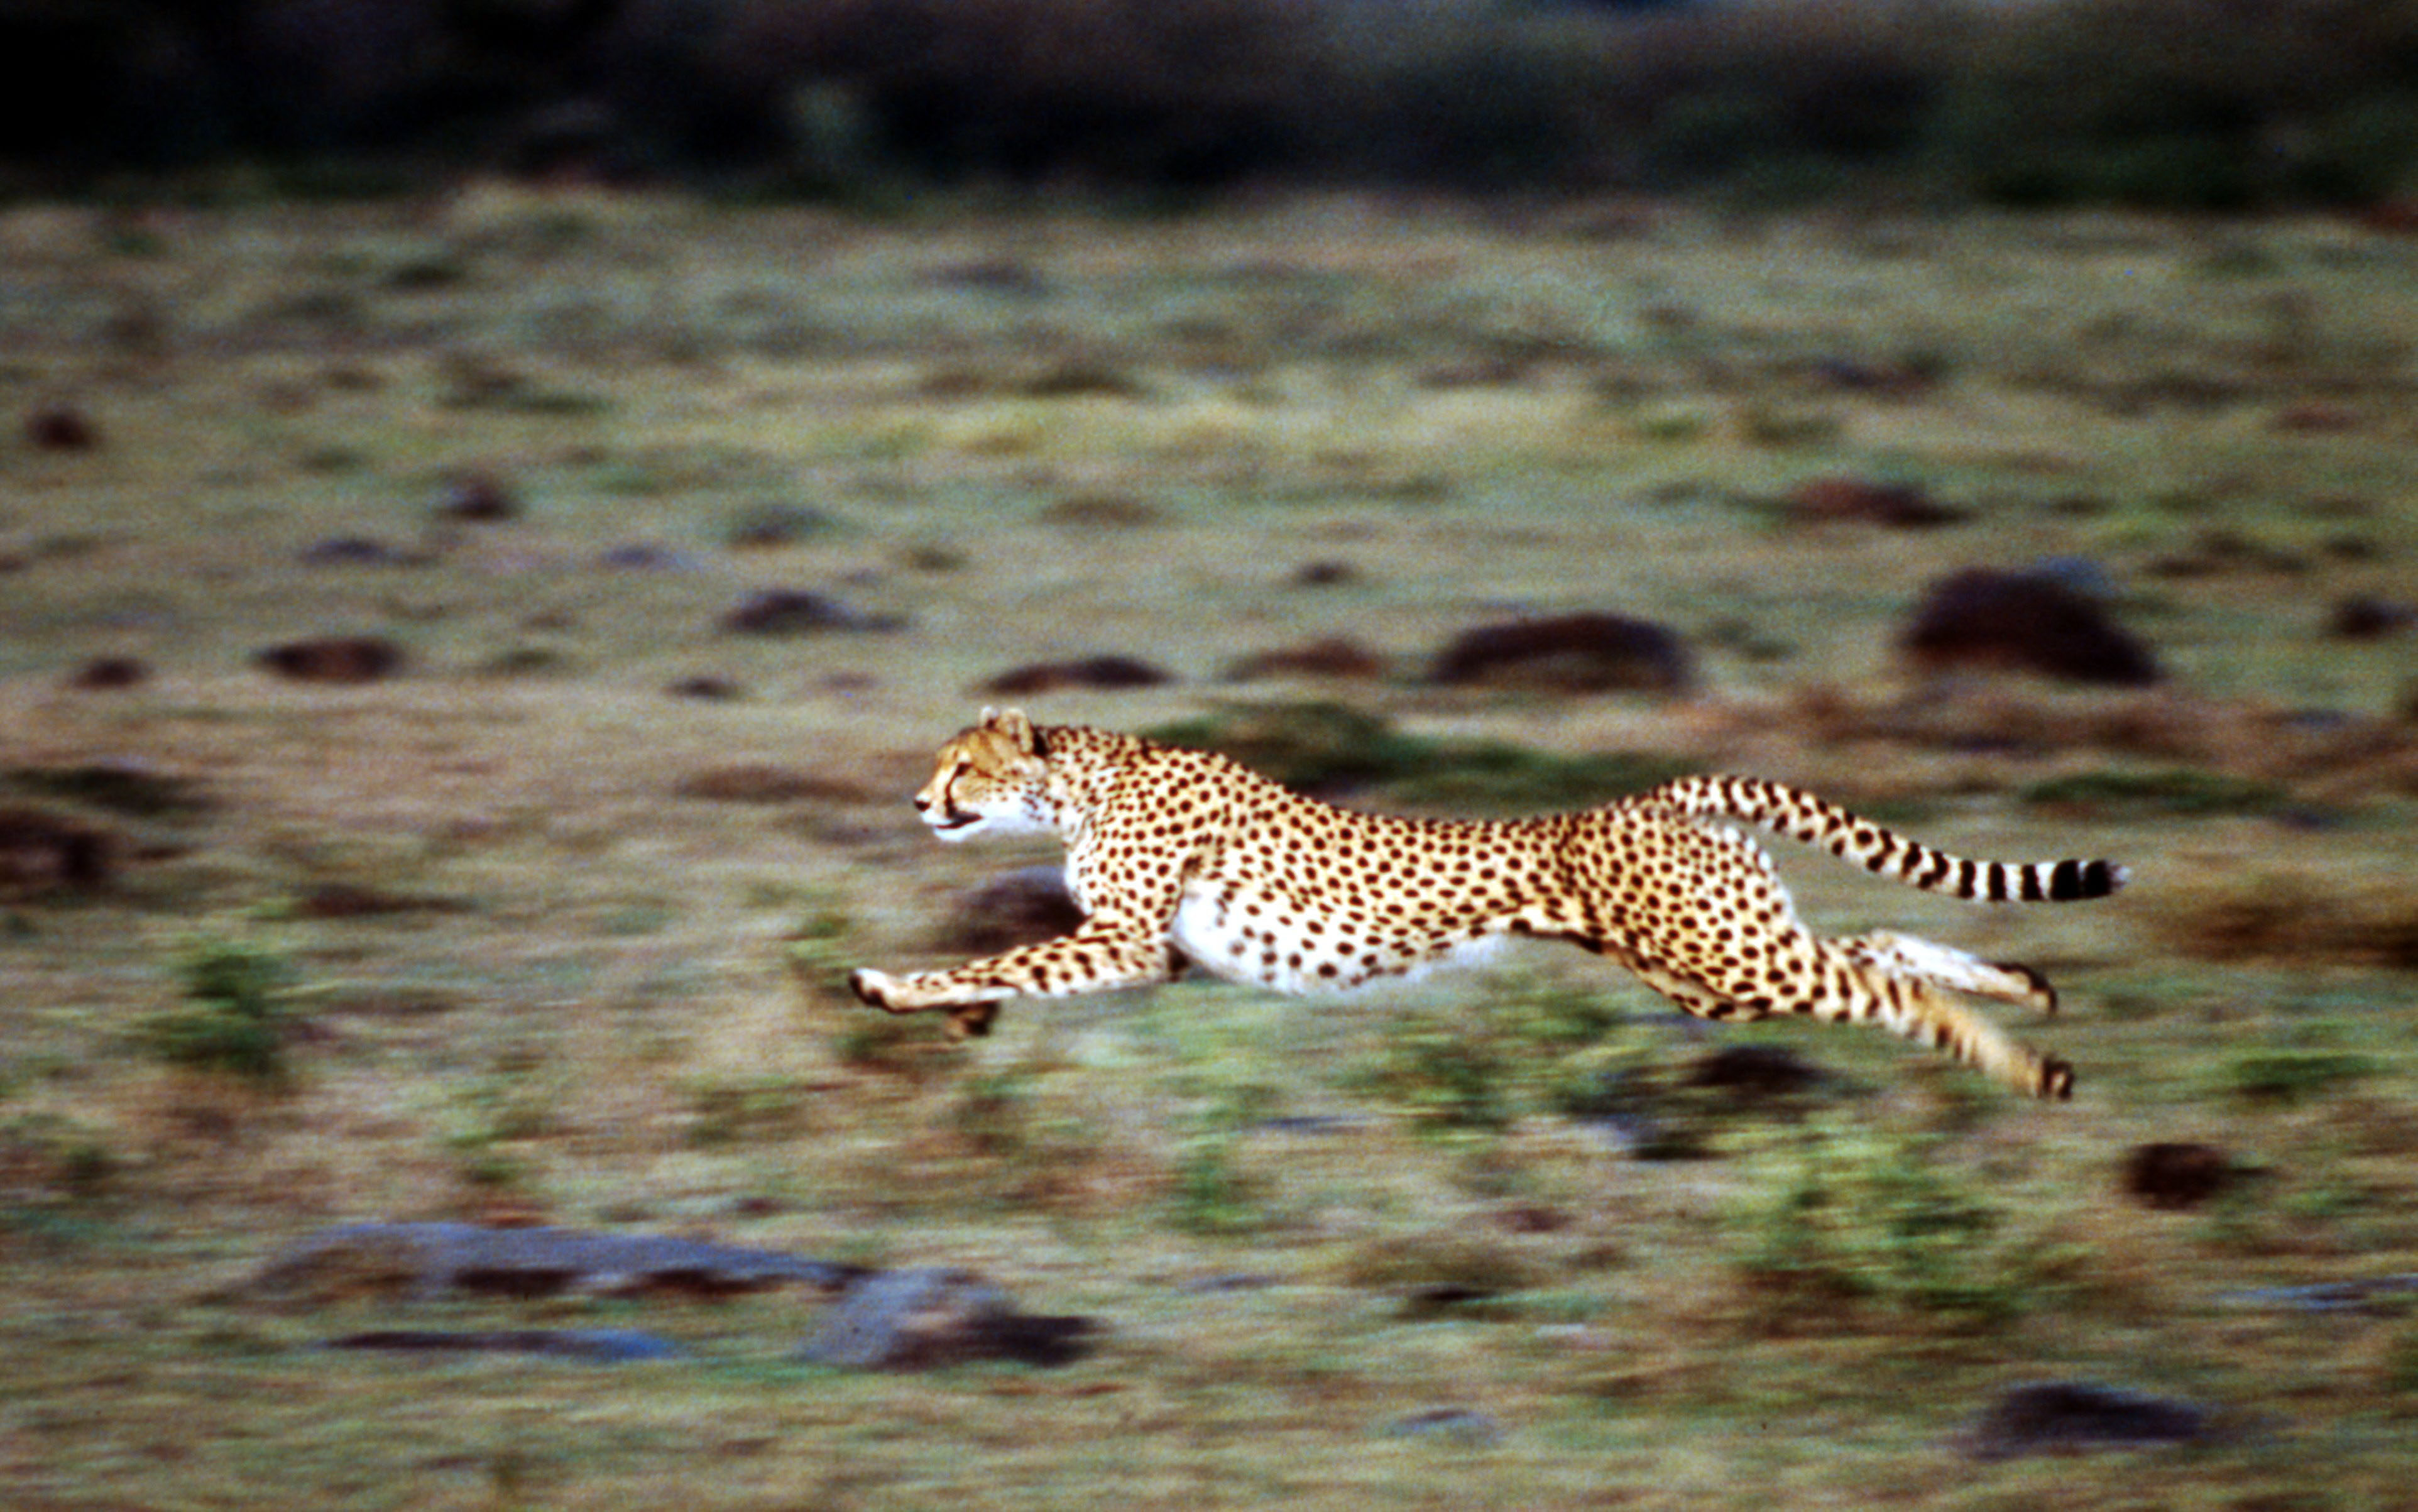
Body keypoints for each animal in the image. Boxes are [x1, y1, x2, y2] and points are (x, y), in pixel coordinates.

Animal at [848, 708, 2128, 1098]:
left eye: (961, 767)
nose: (915, 800)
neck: (1080, 782)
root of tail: (1655, 791)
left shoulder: (1125, 940)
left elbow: (998, 956)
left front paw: (893, 986)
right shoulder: (1151, 954)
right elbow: (1014, 968)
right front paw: (959, 1015)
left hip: (1726, 963)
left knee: (1873, 978)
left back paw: (2026, 1063)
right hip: (1719, 961)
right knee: (1878, 947)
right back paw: (2024, 987)